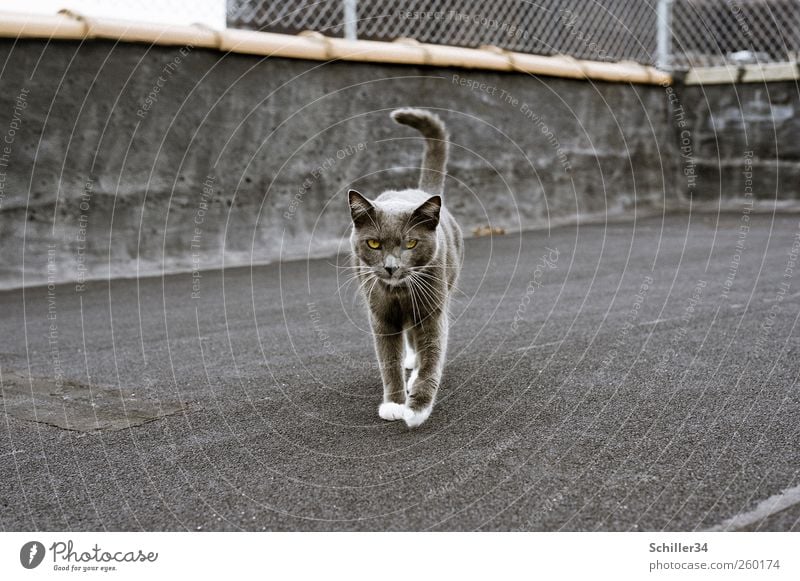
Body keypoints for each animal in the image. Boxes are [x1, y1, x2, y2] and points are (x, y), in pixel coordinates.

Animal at [348, 109, 462, 426]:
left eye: (410, 243)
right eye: (374, 243)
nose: (390, 267)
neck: (399, 291)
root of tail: (420, 190)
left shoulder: (433, 309)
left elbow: (432, 355)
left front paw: (417, 409)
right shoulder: (380, 315)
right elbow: (388, 359)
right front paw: (394, 404)